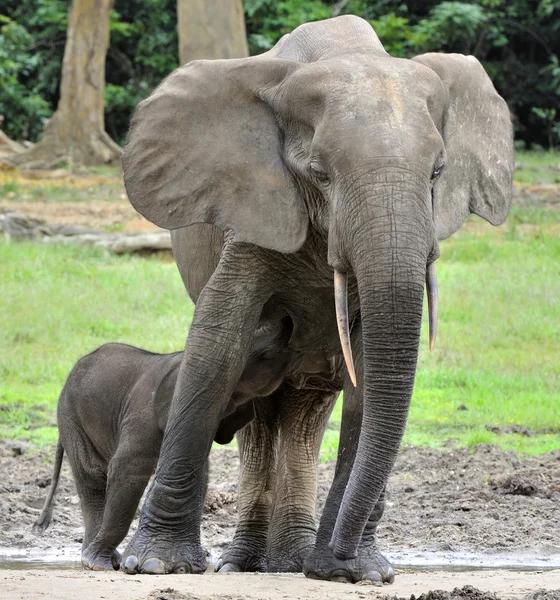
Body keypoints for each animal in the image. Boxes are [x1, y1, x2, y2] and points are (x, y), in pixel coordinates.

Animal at [34, 316, 294, 568]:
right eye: (263, 356)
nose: (288, 319)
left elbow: (198, 473)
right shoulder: (143, 414)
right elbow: (128, 468)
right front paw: (102, 564)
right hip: (71, 416)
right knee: (92, 475)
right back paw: (98, 562)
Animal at [120, 16, 516, 584]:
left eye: (438, 171)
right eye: (320, 173)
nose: (348, 557)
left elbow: (371, 370)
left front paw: (354, 572)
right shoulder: (255, 202)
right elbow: (218, 343)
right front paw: (156, 564)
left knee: (307, 407)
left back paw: (289, 561)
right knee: (259, 410)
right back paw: (247, 564)